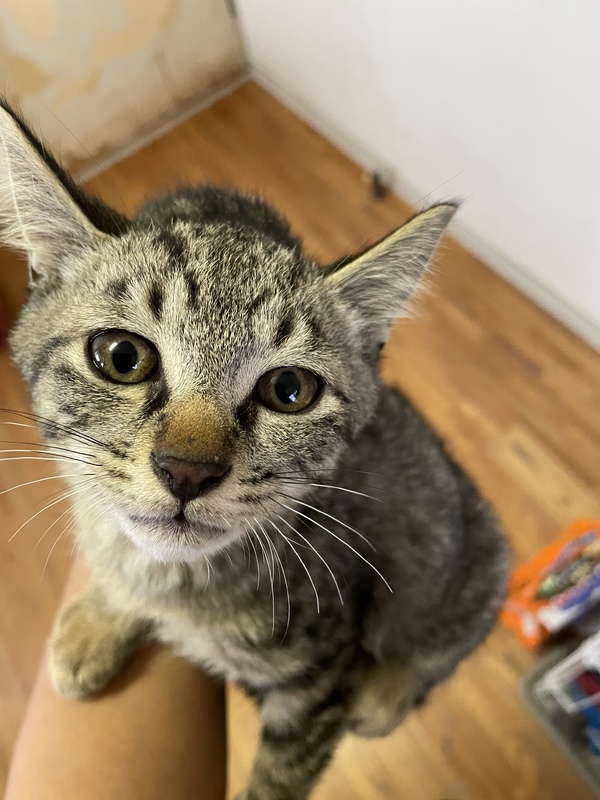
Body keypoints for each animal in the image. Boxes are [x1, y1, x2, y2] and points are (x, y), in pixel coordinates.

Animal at [0, 98, 510, 800]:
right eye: (122, 357)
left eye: (288, 390)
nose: (188, 470)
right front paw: (101, 613)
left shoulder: (322, 673)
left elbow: (277, 780)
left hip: (477, 560)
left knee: (444, 639)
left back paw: (386, 692)